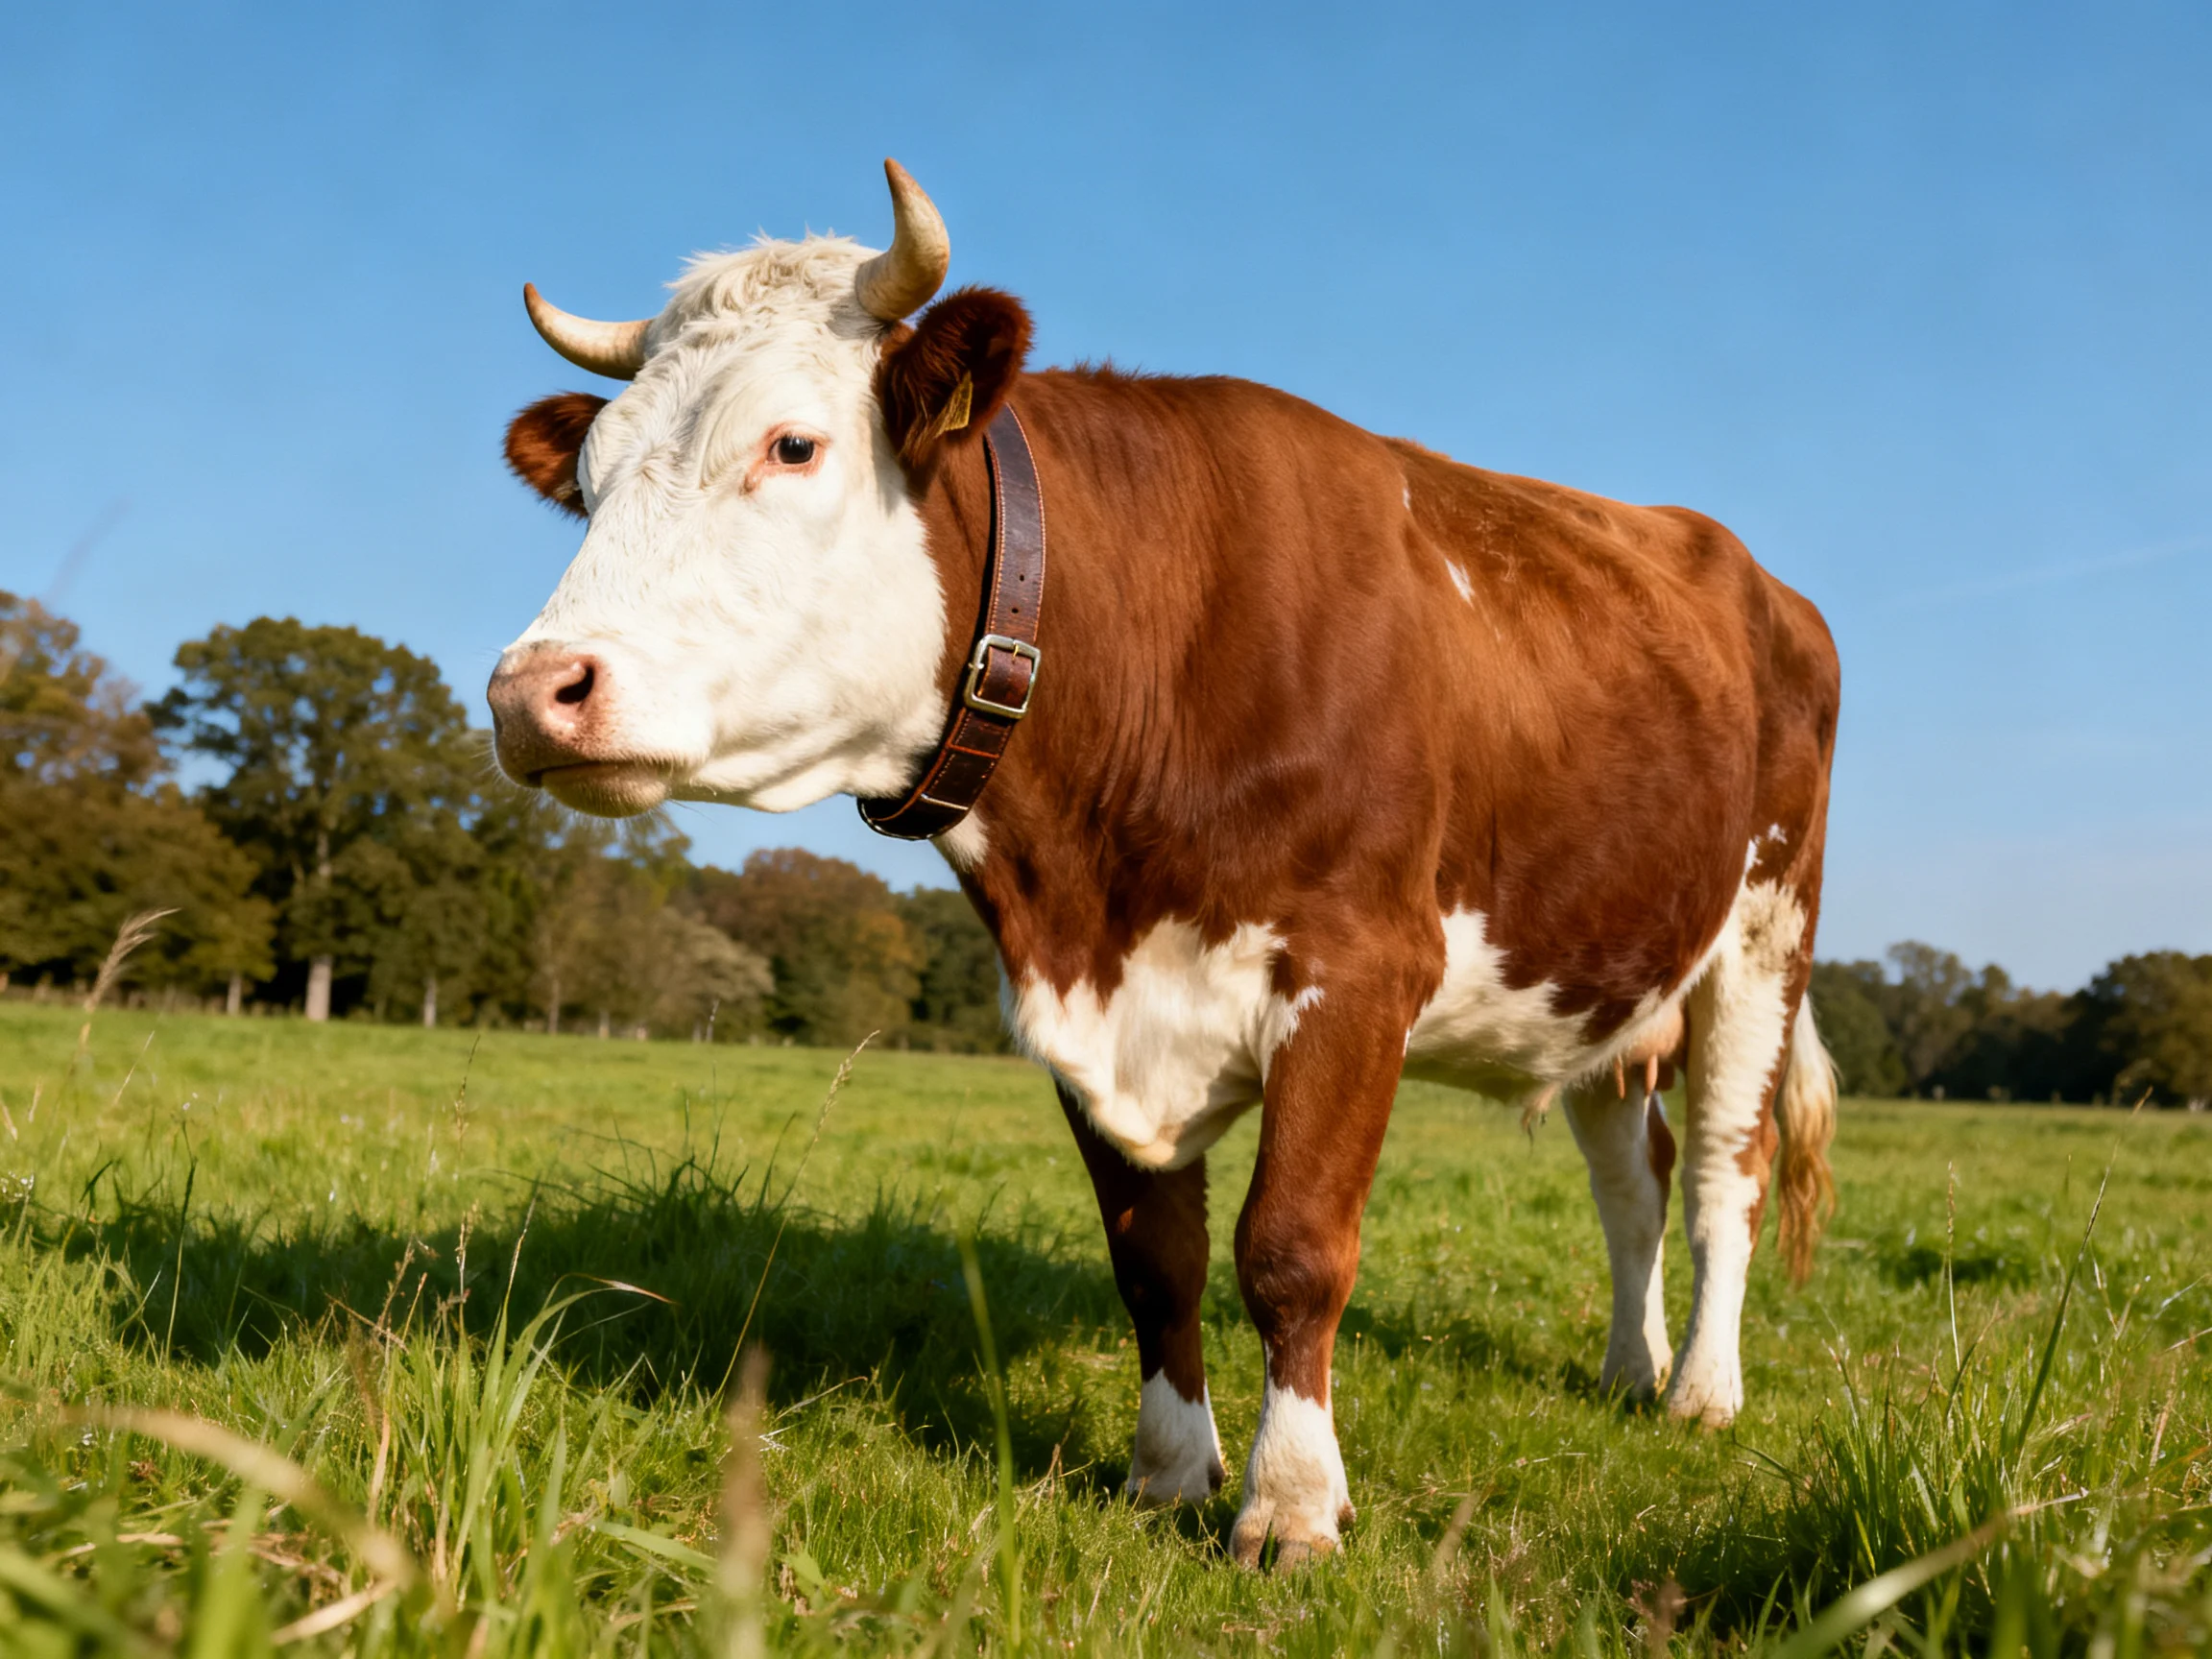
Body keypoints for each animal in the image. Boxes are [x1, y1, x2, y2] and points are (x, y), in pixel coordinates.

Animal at [489, 161, 1841, 1569]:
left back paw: (1700, 1392)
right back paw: (1630, 1372)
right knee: (1630, 1176)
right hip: (1608, 966)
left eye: (791, 445)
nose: (533, 692)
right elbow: (1156, 1260)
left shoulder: (1360, 972)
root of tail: (1756, 577)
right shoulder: (1084, 1003)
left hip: (1764, 936)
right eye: (589, 483)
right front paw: (1167, 1473)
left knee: (1724, 1172)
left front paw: (1291, 1505)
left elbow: (1292, 1247)